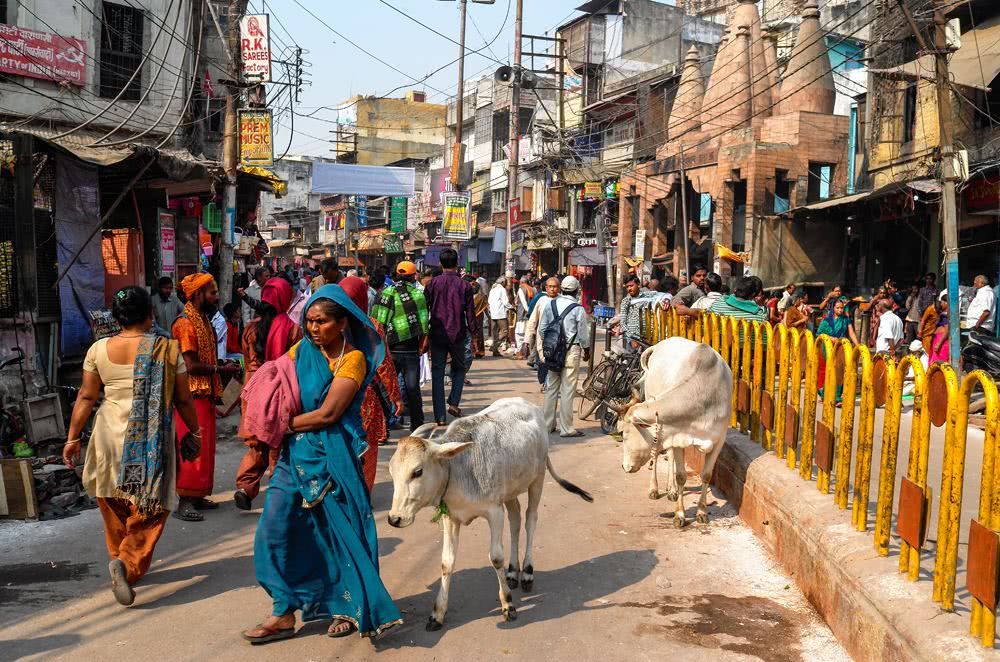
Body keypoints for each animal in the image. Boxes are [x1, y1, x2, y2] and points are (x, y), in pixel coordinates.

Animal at [384, 396, 588, 632]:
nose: (394, 518)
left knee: (530, 520)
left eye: (417, 472)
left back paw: (527, 572)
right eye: (391, 472)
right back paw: (513, 571)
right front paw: (437, 614)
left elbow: (496, 558)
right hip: (509, 491)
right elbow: (446, 562)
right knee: (516, 520)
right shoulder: (451, 517)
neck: (458, 468)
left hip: (537, 479)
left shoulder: (494, 511)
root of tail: (528, 404)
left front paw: (508, 605)